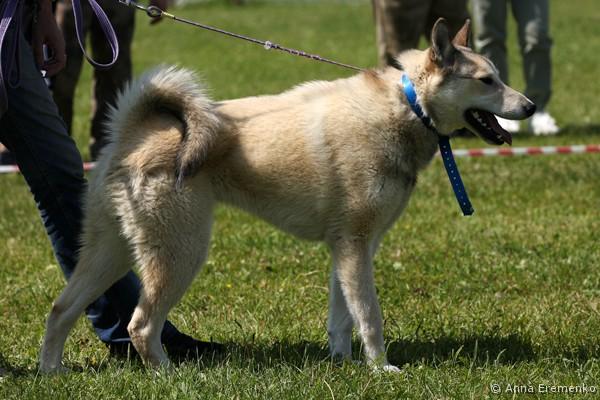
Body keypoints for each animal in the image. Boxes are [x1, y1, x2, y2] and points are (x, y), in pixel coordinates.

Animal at [39, 18, 535, 373]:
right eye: (487, 80)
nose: (530, 106)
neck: (406, 107)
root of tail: (131, 133)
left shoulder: (350, 248)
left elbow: (341, 316)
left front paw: (343, 364)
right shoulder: (356, 247)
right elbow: (369, 315)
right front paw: (381, 368)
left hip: (111, 252)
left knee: (61, 309)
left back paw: (52, 373)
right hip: (181, 252)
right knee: (141, 325)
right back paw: (169, 374)